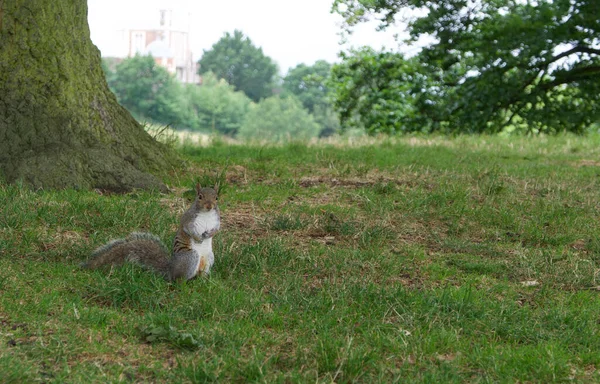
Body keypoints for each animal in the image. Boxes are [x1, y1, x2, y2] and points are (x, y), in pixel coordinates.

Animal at [81, 183, 219, 282]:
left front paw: (209, 234)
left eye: (216, 197)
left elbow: (217, 229)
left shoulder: (217, 221)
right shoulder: (188, 219)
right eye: (200, 196)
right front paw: (198, 238)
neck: (206, 214)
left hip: (209, 258)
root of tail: (171, 270)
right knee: (178, 279)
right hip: (190, 257)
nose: (209, 206)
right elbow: (188, 229)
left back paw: (204, 281)